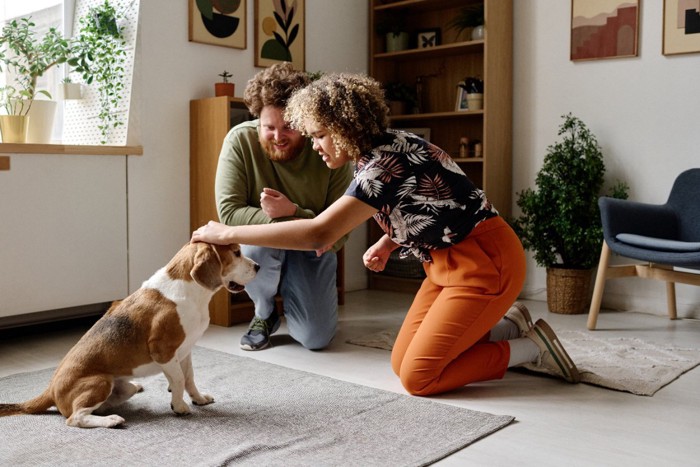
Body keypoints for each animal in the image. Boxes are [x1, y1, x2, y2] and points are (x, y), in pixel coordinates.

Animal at [0, 243, 258, 430]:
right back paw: (111, 421)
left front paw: (198, 398)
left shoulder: (185, 350)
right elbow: (178, 380)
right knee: (75, 418)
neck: (190, 290)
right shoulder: (164, 352)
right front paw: (179, 405)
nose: (257, 266)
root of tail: (51, 389)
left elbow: (189, 379)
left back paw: (128, 394)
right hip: (100, 381)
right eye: (236, 253)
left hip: (121, 388)